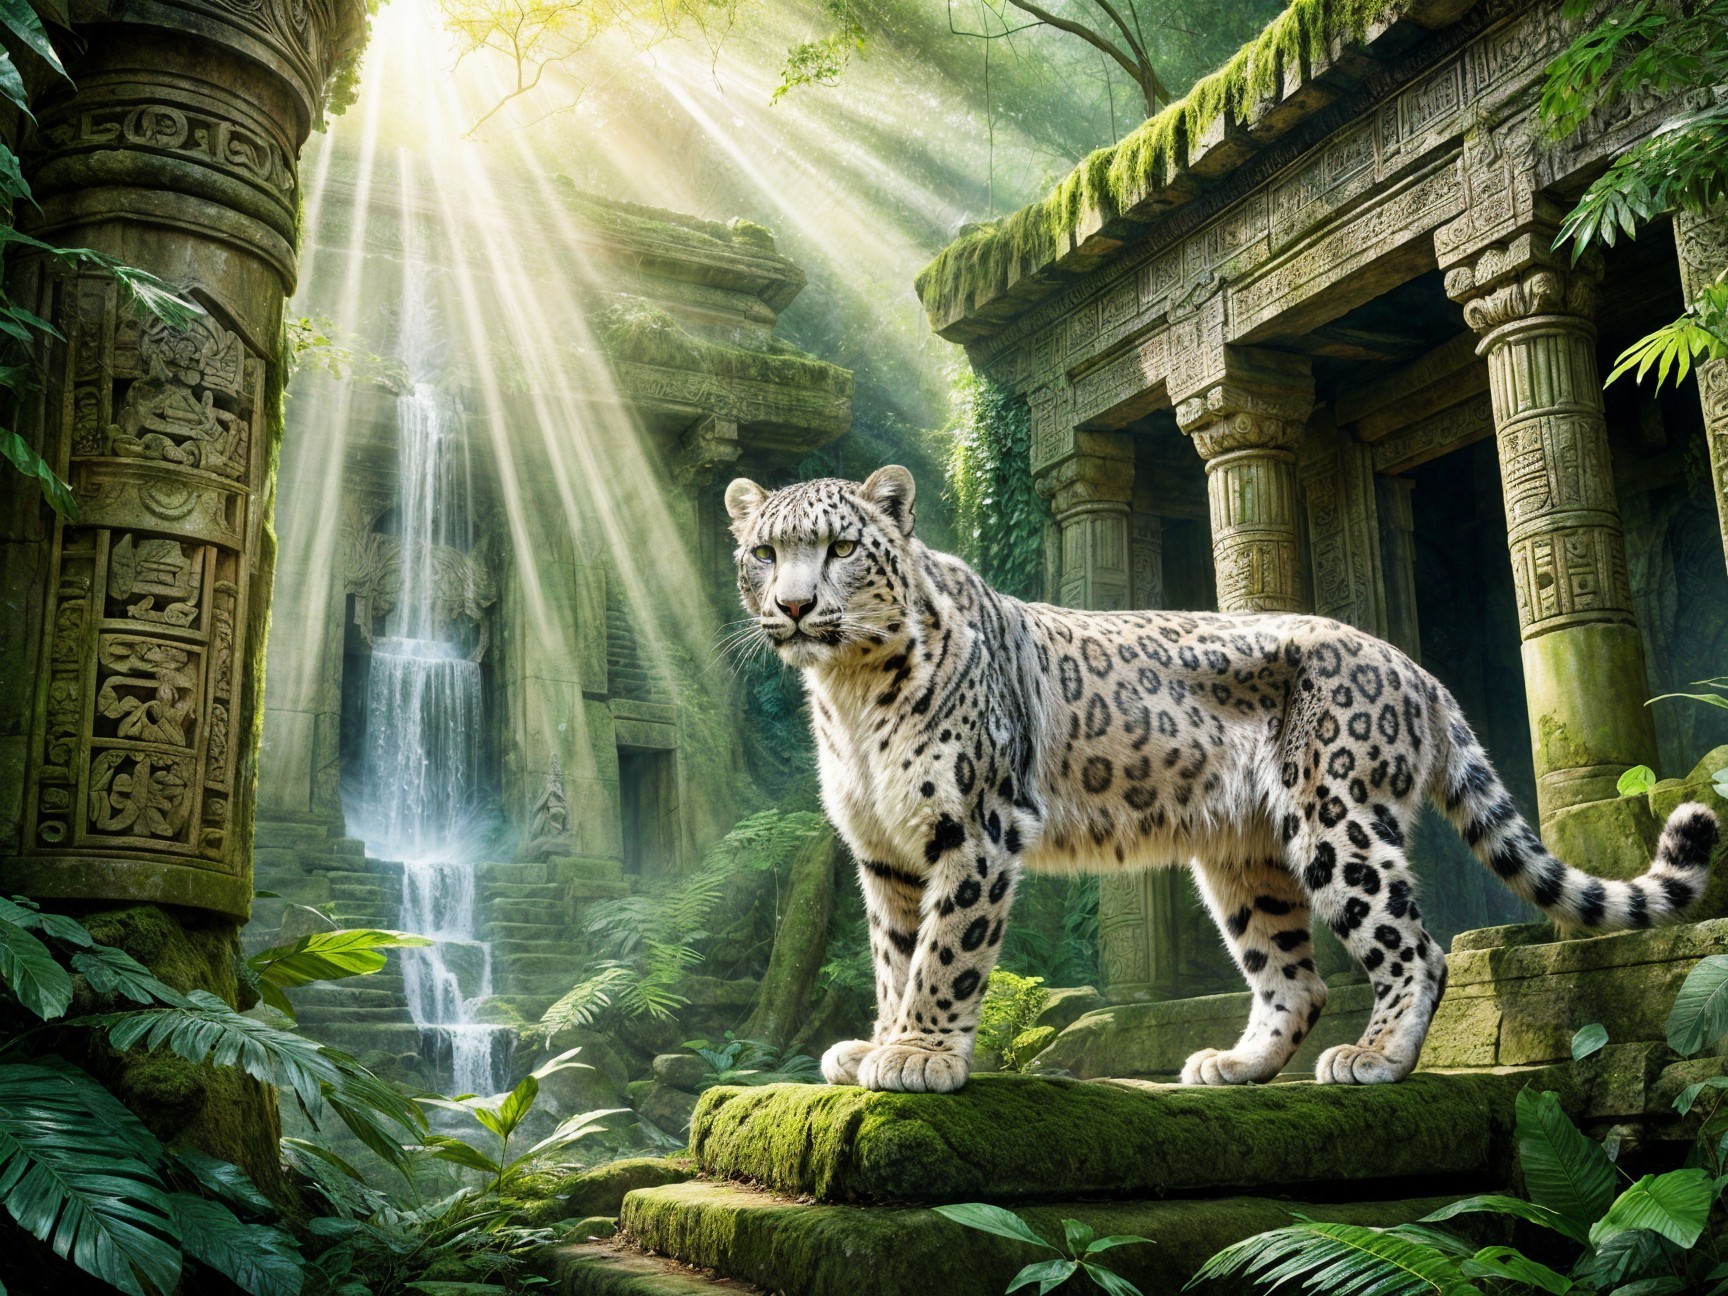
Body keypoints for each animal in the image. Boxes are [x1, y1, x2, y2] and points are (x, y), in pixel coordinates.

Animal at [724, 464, 1720, 1093]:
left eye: (840, 548)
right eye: (765, 554)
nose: (795, 606)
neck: (849, 692)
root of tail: (1413, 667)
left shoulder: (975, 827)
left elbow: (946, 954)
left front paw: (919, 1055)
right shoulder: (886, 852)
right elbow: (894, 956)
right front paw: (879, 1043)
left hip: (1338, 818)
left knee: (1414, 947)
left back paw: (1374, 1059)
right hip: (1243, 857)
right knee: (1293, 976)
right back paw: (1234, 1067)